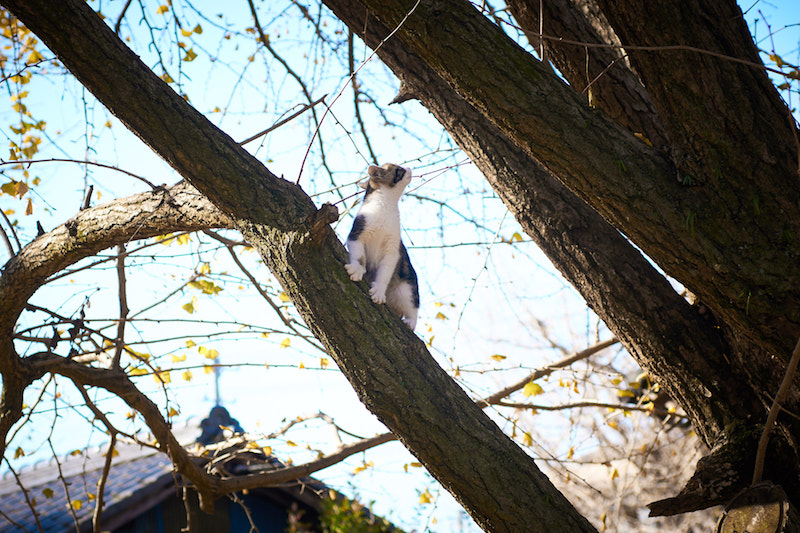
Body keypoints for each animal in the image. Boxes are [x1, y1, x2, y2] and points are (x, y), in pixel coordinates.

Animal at [344, 162, 418, 328]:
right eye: (399, 170)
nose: (409, 168)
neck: (386, 205)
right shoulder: (357, 232)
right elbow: (359, 256)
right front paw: (358, 270)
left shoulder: (392, 250)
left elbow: (385, 272)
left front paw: (378, 290)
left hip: (407, 285)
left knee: (412, 306)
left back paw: (410, 321)